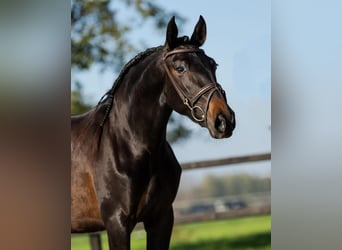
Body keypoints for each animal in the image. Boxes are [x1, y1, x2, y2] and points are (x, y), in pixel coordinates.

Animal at [71, 16, 234, 250]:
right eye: (180, 68)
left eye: (213, 64)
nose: (224, 120)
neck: (129, 144)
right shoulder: (117, 223)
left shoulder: (161, 218)